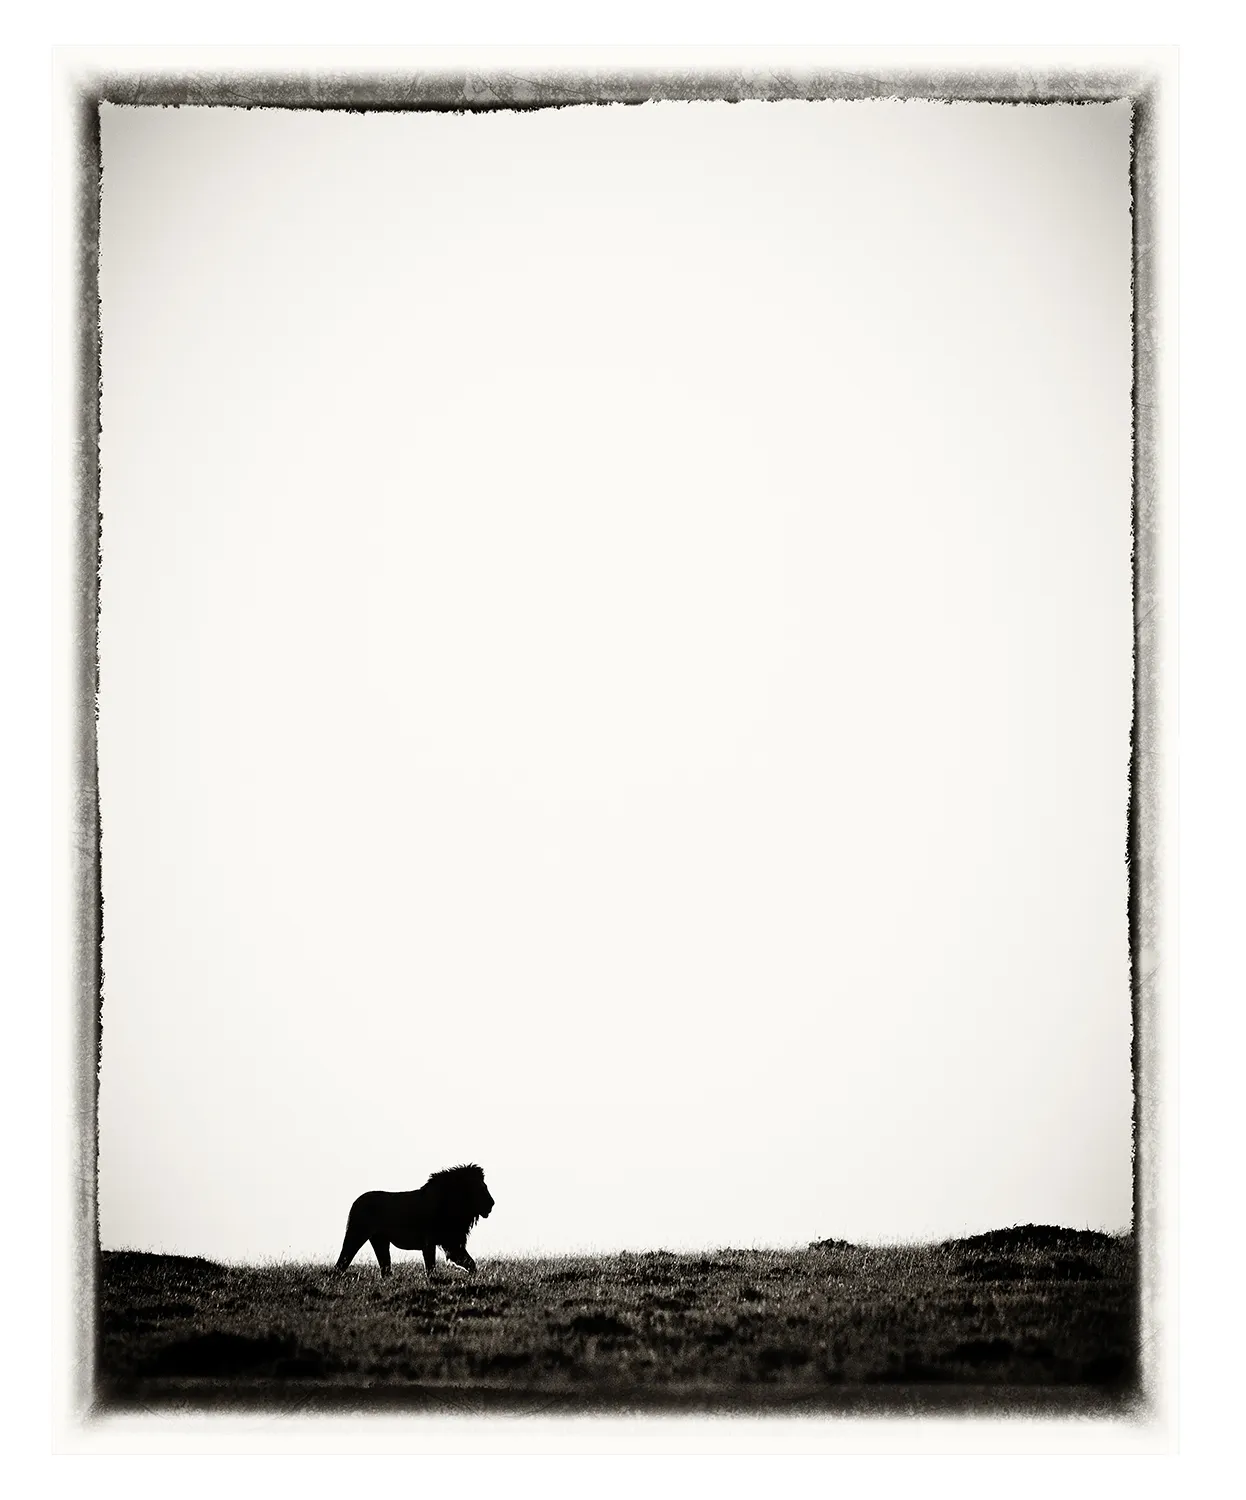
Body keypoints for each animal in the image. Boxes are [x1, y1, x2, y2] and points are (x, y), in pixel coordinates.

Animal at [335, 1163, 494, 1278]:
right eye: (482, 1188)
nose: (492, 1203)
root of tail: (356, 1201)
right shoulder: (432, 1241)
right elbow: (431, 1265)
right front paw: (433, 1280)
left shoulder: (451, 1242)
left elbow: (468, 1261)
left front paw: (474, 1276)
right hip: (357, 1233)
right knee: (344, 1258)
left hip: (380, 1240)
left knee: (384, 1265)